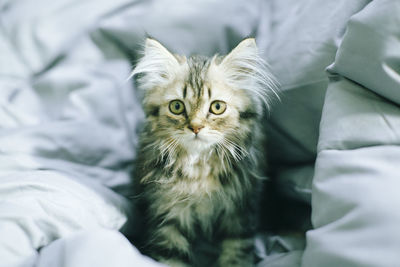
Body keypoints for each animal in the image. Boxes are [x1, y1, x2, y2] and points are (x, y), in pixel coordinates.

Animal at [131, 38, 278, 267]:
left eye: (217, 107)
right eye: (176, 106)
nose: (196, 127)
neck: (199, 167)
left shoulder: (240, 212)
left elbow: (236, 253)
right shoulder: (167, 213)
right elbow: (171, 257)